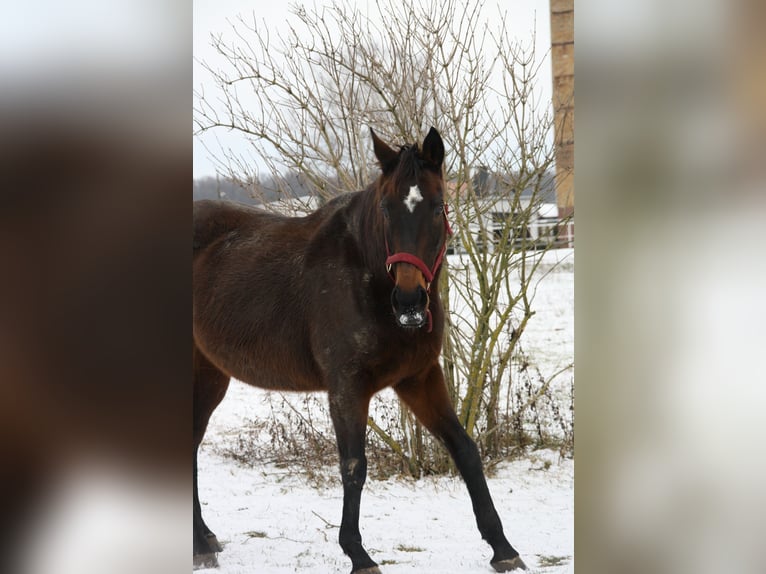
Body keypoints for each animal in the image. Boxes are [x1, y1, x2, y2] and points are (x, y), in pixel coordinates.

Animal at [194, 130, 528, 574]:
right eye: (386, 208)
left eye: (437, 205)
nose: (409, 302)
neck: (365, 278)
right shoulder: (348, 387)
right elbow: (354, 466)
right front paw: (358, 554)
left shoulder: (419, 378)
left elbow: (465, 450)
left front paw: (503, 548)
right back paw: (199, 544)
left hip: (210, 374)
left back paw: (204, 539)